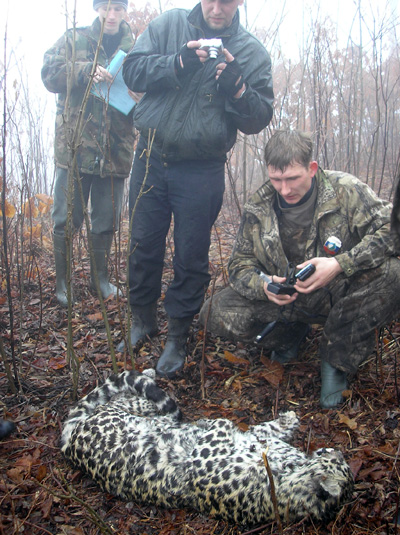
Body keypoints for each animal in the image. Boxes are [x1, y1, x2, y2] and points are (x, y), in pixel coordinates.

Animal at [59, 370, 354, 524]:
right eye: (330, 454)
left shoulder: (205, 455)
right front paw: (289, 419)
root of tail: (71, 442)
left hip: (124, 412)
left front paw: (209, 422)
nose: (334, 450)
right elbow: (259, 431)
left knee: (123, 398)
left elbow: (224, 425)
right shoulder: (253, 439)